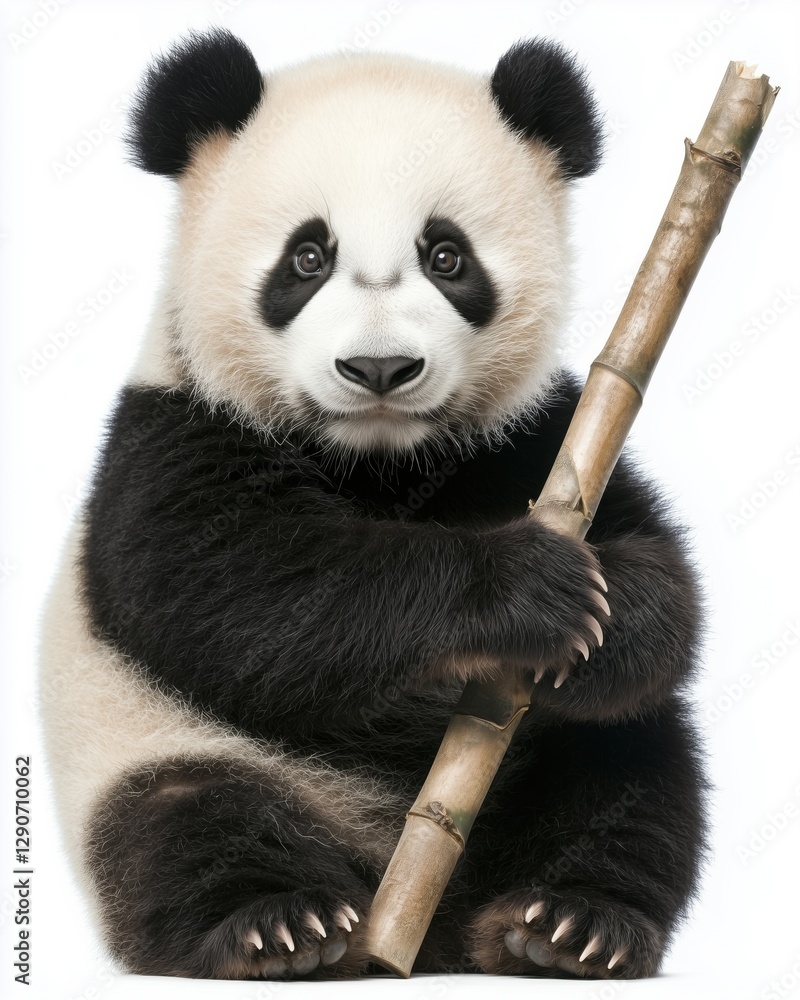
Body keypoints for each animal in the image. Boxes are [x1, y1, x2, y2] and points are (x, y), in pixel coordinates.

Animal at [39, 28, 707, 981]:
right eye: (307, 258)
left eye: (447, 256)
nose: (381, 369)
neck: (380, 460)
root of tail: (421, 926)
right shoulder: (173, 435)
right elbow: (245, 593)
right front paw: (528, 588)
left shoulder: (538, 433)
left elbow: (660, 577)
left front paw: (617, 608)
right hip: (150, 739)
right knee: (180, 823)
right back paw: (283, 927)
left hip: (558, 761)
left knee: (630, 780)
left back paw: (567, 924)